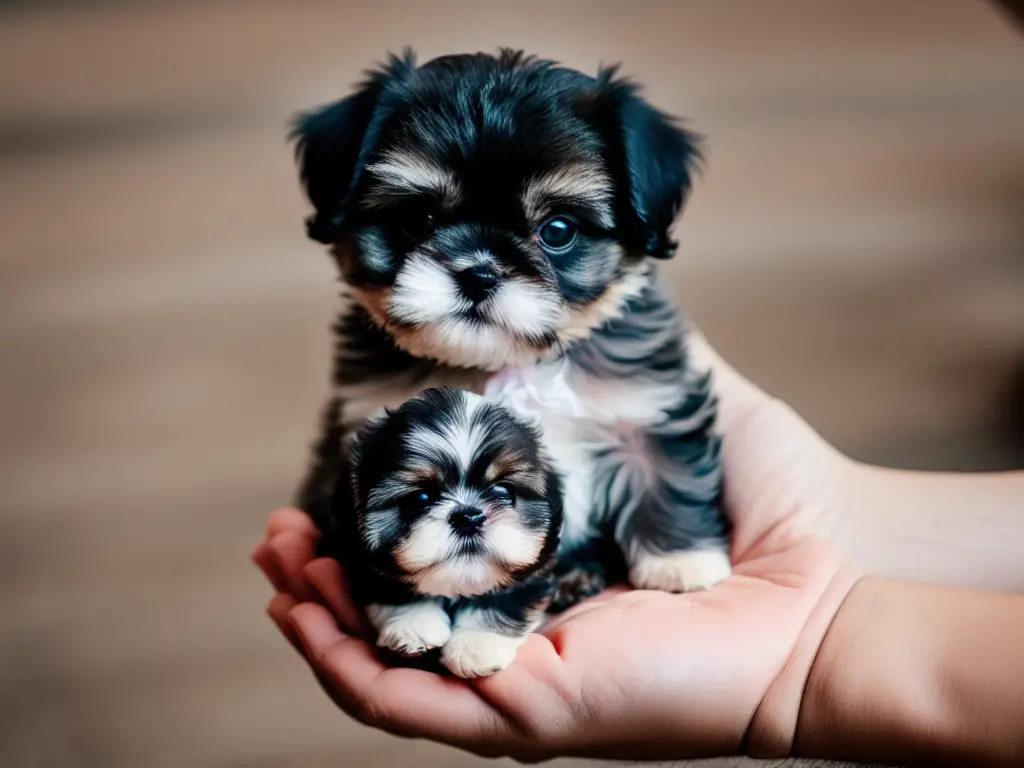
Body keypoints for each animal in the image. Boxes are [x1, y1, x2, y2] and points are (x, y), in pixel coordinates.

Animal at [348, 387, 565, 675]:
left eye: (502, 491)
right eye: (420, 498)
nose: (468, 517)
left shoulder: (534, 572)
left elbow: (506, 598)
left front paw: (477, 644)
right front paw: (412, 627)